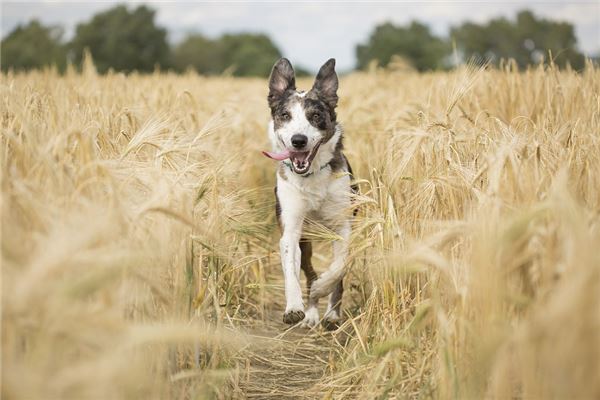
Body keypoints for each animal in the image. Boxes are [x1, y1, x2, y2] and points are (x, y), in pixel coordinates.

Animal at [262, 58, 356, 328]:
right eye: (285, 115)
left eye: (315, 116)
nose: (298, 140)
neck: (311, 176)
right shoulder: (291, 229)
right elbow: (291, 270)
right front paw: (294, 307)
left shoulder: (343, 226)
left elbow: (339, 267)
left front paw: (323, 289)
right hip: (306, 240)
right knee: (307, 269)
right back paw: (311, 312)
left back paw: (330, 313)